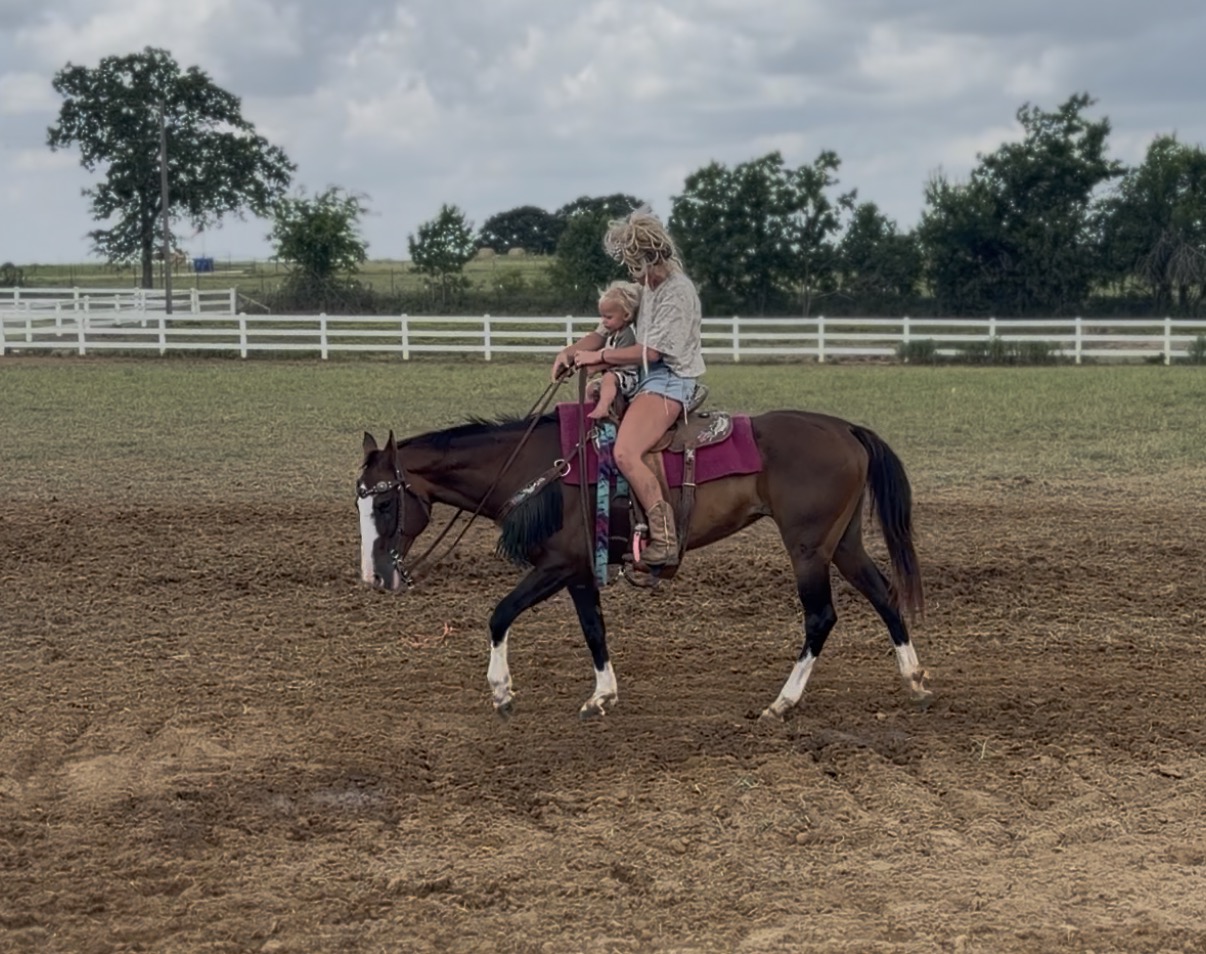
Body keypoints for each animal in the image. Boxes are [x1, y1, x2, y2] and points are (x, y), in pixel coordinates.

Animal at [356, 405, 930, 721]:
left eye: (383, 504)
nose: (375, 576)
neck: (539, 467)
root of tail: (846, 429)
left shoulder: (558, 564)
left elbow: (499, 614)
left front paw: (501, 693)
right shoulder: (579, 570)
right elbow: (594, 629)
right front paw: (602, 696)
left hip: (808, 548)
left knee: (820, 617)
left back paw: (782, 703)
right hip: (843, 543)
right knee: (883, 592)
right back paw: (915, 678)